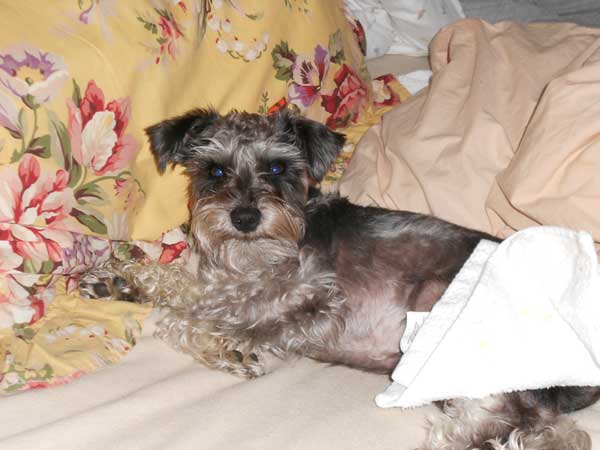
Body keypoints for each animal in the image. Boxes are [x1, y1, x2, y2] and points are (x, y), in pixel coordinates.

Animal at [79, 109, 600, 450]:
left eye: (276, 166)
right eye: (216, 169)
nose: (244, 217)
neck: (257, 255)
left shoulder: (315, 299)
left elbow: (198, 320)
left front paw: (227, 347)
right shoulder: (229, 285)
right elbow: (186, 290)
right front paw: (120, 281)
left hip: (443, 308)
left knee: (534, 423)